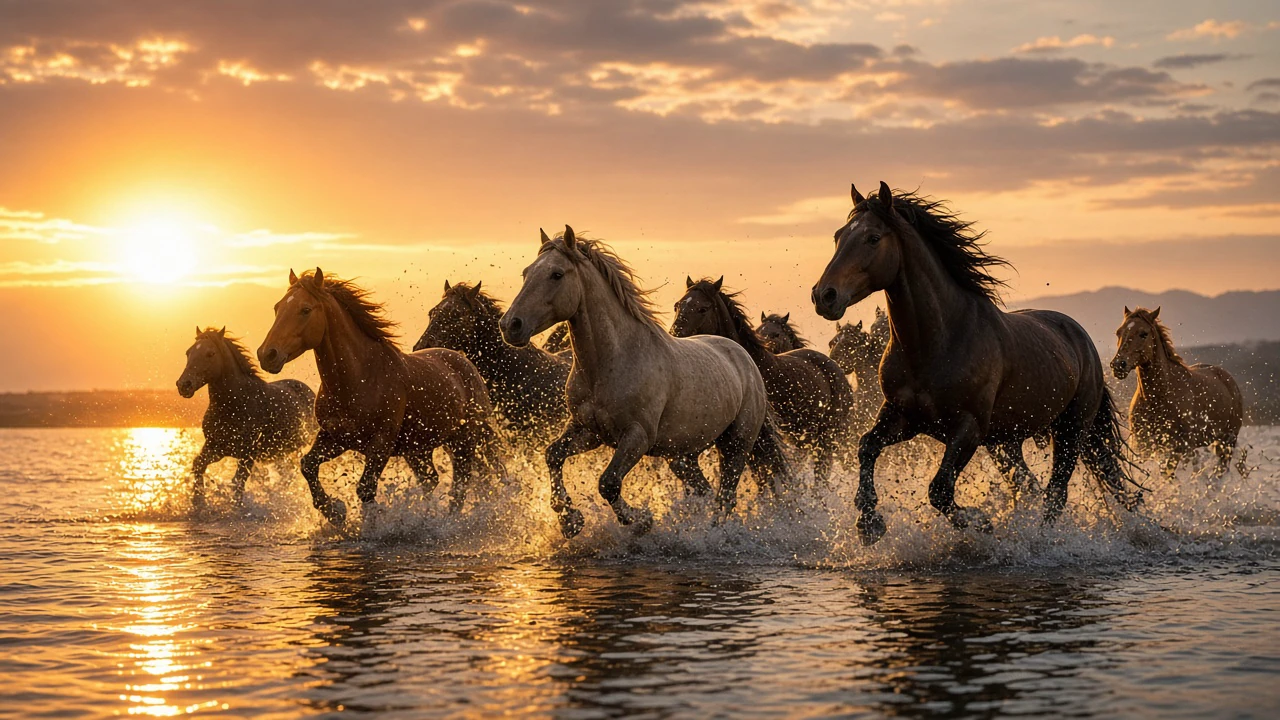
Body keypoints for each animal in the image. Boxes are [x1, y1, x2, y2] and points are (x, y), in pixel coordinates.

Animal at [176, 327, 316, 509]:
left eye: (210, 353)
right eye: (188, 352)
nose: (184, 385)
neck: (234, 406)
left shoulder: (247, 454)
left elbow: (238, 482)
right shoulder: (215, 447)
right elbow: (198, 465)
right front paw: (199, 502)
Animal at [257, 268, 504, 527]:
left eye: (305, 309)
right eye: (277, 307)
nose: (267, 354)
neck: (359, 379)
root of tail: (464, 362)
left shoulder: (381, 444)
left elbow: (366, 489)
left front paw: (367, 525)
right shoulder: (334, 438)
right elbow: (308, 466)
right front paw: (335, 512)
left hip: (465, 440)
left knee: (462, 482)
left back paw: (449, 521)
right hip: (418, 449)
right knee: (431, 480)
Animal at [499, 227, 789, 538]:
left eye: (556, 274)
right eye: (526, 272)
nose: (510, 325)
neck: (610, 364)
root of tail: (743, 356)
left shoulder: (637, 437)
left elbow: (608, 482)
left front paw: (641, 520)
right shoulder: (588, 431)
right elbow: (553, 455)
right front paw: (570, 520)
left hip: (736, 444)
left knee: (725, 497)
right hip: (686, 452)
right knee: (705, 490)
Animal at [812, 182, 1142, 544]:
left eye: (873, 237)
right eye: (838, 235)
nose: (824, 296)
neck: (936, 343)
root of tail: (1084, 342)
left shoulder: (967, 428)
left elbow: (940, 489)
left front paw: (980, 521)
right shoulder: (902, 417)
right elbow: (866, 447)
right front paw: (868, 522)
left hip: (1070, 430)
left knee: (1055, 493)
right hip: (1006, 442)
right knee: (1027, 486)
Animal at [1111, 306, 1244, 480]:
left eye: (1143, 333)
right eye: (1118, 332)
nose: (1118, 365)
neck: (1158, 398)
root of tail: (1229, 379)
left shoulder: (1178, 447)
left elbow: (1167, 475)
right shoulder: (1143, 445)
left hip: (1227, 442)